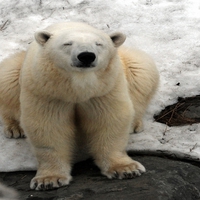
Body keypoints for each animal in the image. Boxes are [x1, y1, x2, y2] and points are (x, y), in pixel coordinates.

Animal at [0, 21, 159, 191]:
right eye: (67, 43)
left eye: (99, 44)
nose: (86, 56)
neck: (78, 88)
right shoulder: (48, 92)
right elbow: (49, 126)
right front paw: (48, 180)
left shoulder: (103, 90)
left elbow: (109, 119)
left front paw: (126, 169)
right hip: (18, 72)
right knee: (7, 79)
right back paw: (14, 128)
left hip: (129, 65)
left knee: (141, 71)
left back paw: (134, 124)